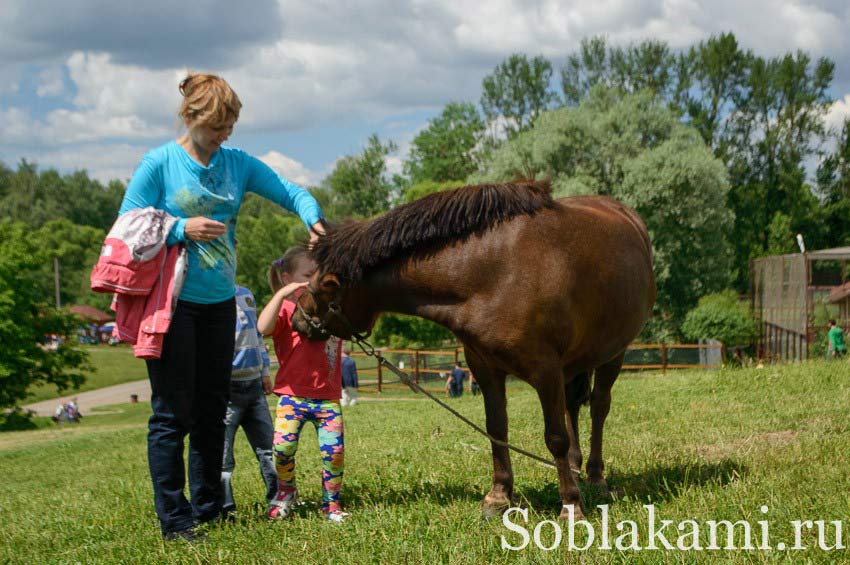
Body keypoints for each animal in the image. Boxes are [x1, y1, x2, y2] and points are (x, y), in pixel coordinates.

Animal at [294, 178, 652, 516]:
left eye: (322, 286)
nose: (299, 319)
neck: (491, 272)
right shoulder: (484, 367)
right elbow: (497, 428)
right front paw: (499, 496)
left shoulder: (545, 369)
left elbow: (555, 437)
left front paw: (570, 505)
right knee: (573, 407)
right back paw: (576, 470)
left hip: (613, 353)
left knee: (598, 408)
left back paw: (594, 476)